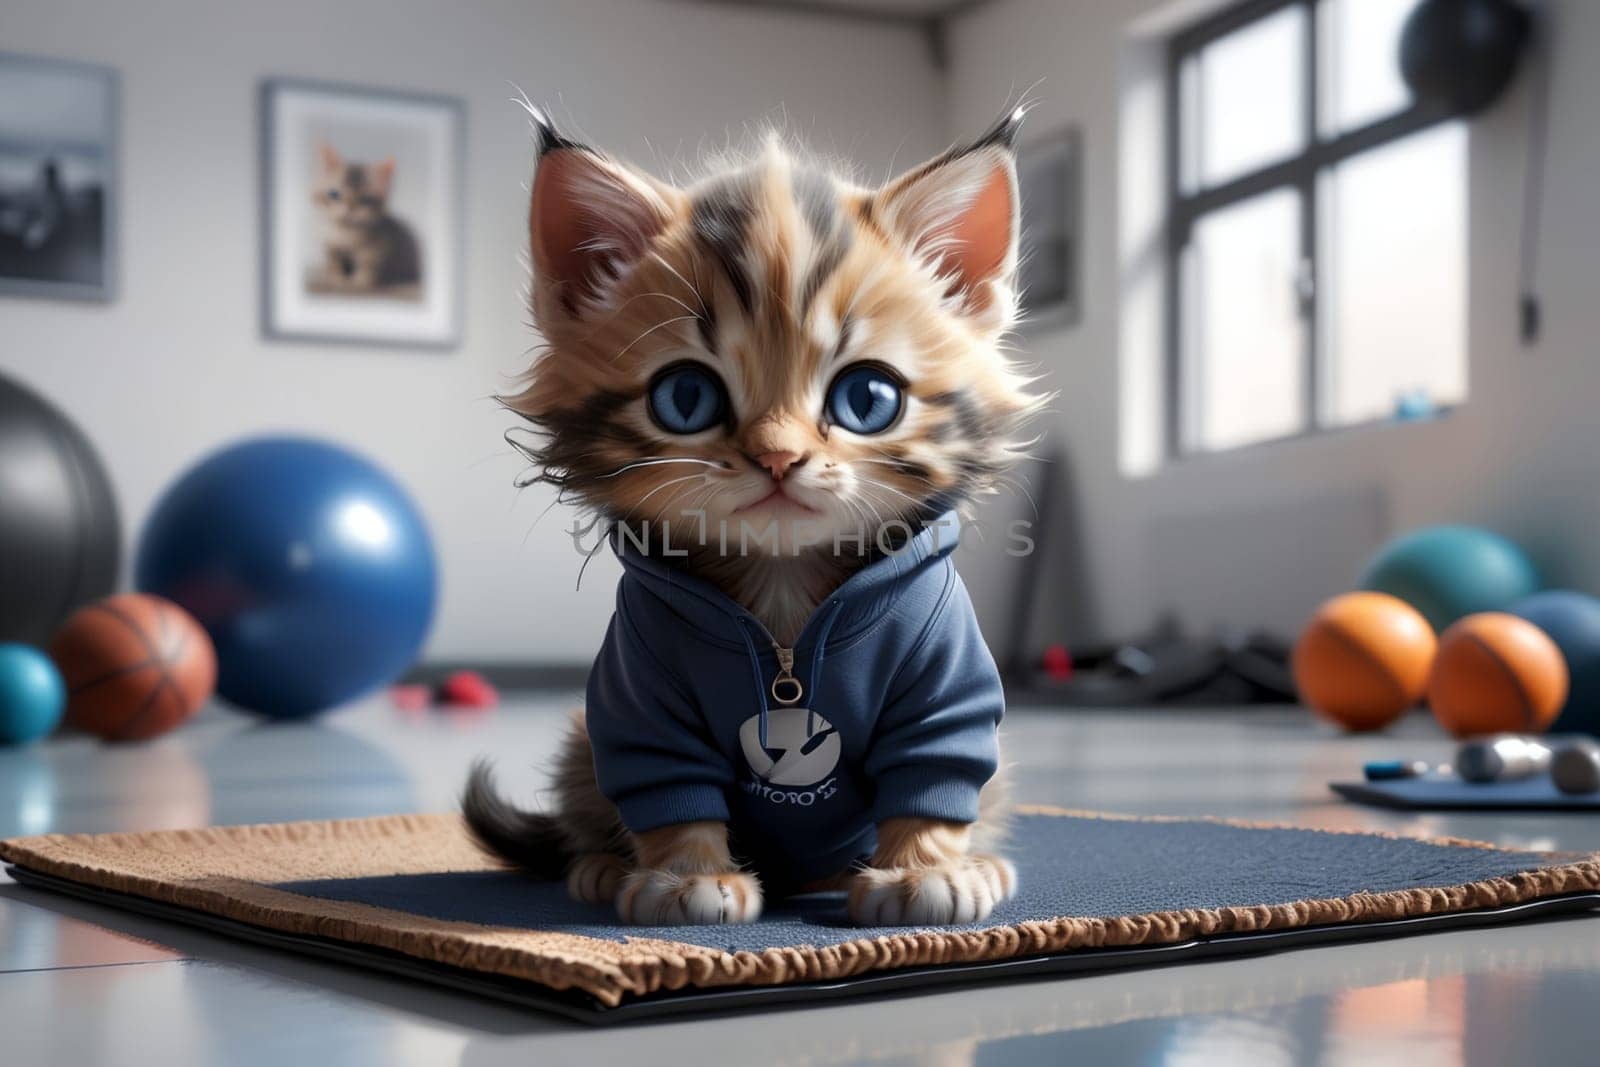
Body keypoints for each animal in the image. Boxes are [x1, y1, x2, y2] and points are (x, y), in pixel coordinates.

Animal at [312, 141, 422, 294]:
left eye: (366, 199)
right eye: (334, 194)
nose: (350, 209)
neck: (347, 235)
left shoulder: (378, 249)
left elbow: (368, 267)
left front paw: (359, 283)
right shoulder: (330, 246)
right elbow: (334, 263)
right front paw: (336, 279)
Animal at [464, 106, 1043, 927]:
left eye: (867, 398)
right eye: (686, 398)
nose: (777, 457)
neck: (783, 595)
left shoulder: (947, 691)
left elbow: (933, 771)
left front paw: (921, 873)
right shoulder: (637, 701)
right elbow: (671, 789)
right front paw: (687, 878)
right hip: (582, 738)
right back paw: (602, 866)